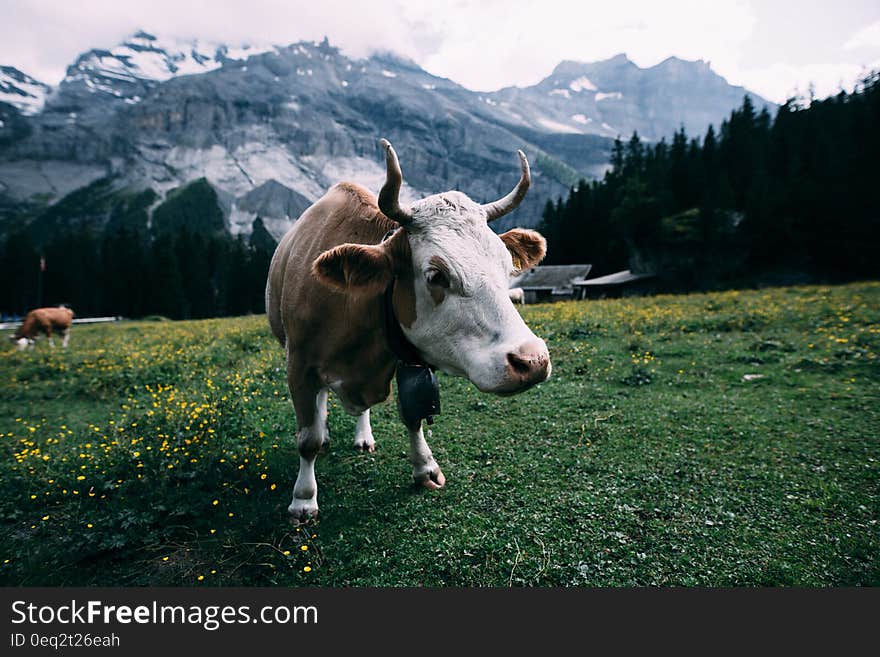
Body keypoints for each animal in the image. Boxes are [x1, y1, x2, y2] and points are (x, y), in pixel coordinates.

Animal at [266, 141, 552, 520]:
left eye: (507, 266)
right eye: (436, 275)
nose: (532, 361)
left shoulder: (407, 359)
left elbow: (413, 415)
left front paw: (425, 468)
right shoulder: (298, 365)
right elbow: (307, 438)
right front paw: (303, 498)